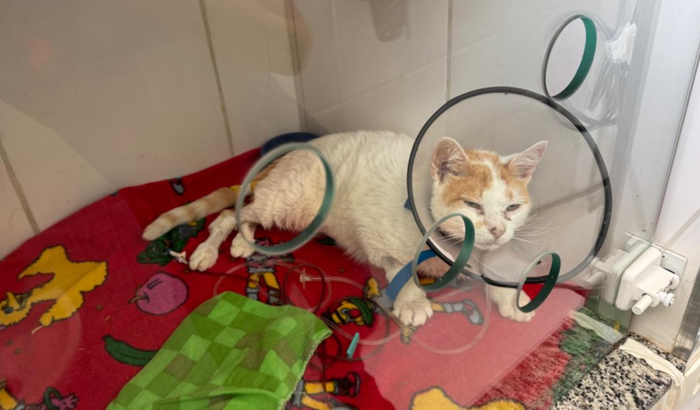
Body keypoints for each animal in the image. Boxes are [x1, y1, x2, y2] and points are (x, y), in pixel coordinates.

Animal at [142, 131, 547, 326]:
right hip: (288, 201)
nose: (496, 230)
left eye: (512, 208)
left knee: (248, 215)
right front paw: (413, 301)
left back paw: (245, 242)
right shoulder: (378, 237)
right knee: (231, 213)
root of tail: (296, 150)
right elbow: (401, 269)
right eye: (472, 205)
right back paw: (207, 250)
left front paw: (513, 300)